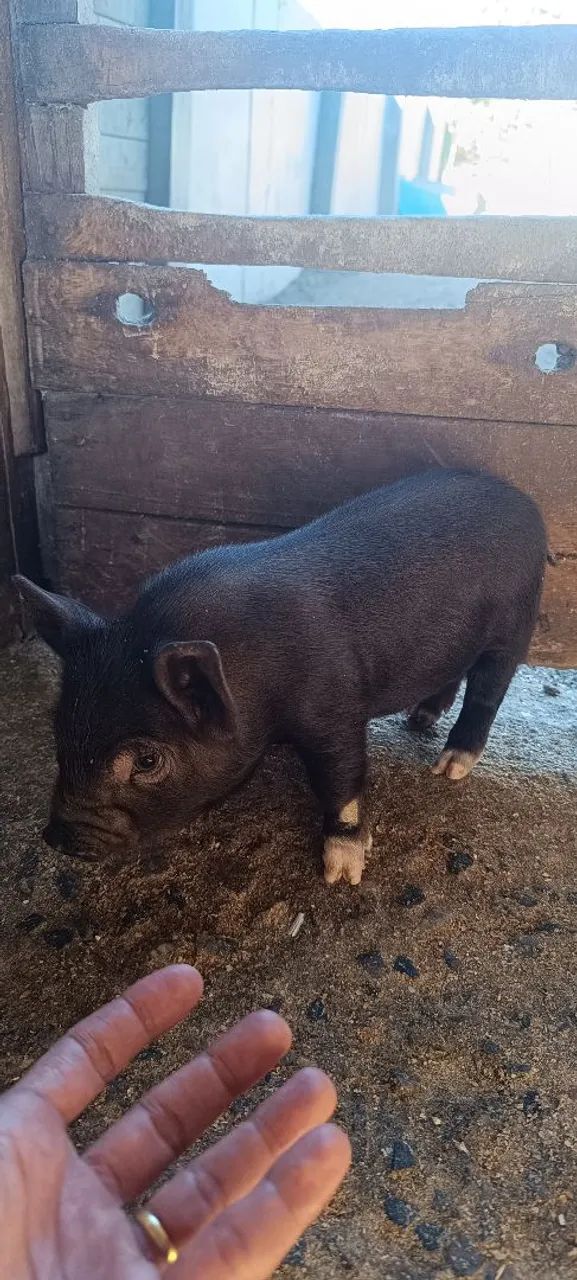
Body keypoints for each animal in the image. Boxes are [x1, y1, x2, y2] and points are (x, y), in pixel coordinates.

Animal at [15, 469, 546, 885]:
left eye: (146, 760)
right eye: (59, 727)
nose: (57, 837)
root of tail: (526, 504)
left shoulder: (334, 707)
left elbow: (342, 781)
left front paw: (341, 875)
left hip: (515, 624)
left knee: (487, 692)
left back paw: (449, 767)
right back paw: (419, 719)